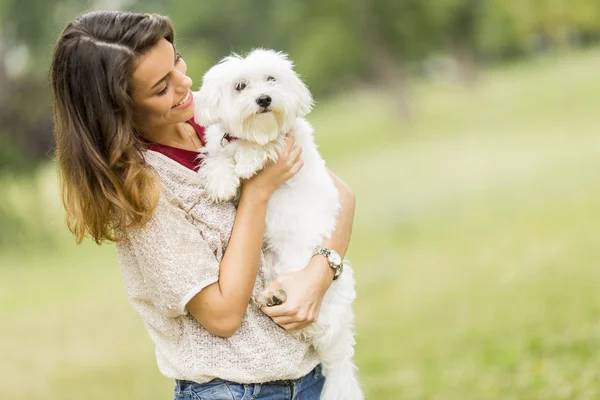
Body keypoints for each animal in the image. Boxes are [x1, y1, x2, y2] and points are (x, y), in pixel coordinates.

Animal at [195, 50, 364, 400]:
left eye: (271, 80)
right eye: (240, 85)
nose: (264, 99)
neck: (253, 130)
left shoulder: (288, 141)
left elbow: (265, 145)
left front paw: (248, 159)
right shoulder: (220, 145)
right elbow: (217, 158)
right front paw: (221, 180)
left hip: (299, 276)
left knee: (314, 328)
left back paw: (277, 301)